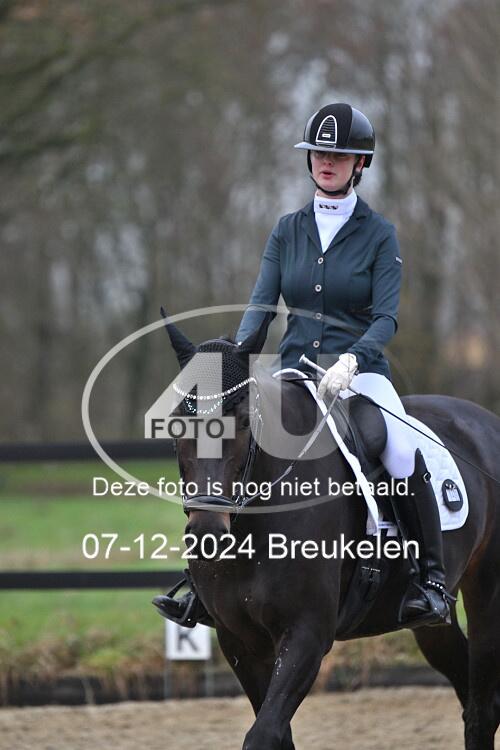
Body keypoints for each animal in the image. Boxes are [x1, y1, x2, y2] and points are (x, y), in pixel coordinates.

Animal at [160, 314, 500, 750]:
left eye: (244, 420)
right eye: (177, 423)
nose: (207, 533)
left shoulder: (307, 634)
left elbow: (263, 734)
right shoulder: (239, 640)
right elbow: (277, 734)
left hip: (487, 597)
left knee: (481, 710)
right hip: (431, 624)